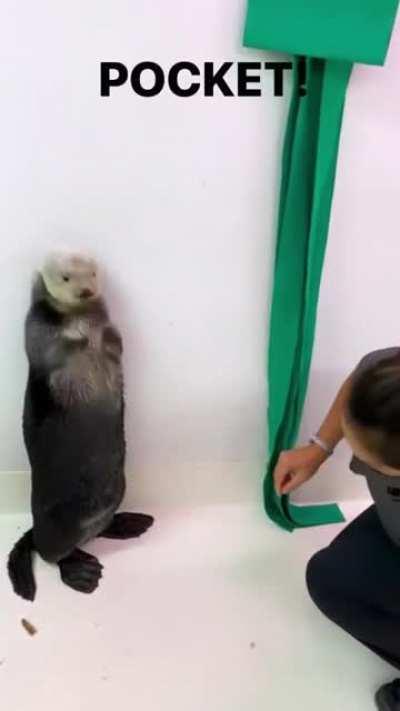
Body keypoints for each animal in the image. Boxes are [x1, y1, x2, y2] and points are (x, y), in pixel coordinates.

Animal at [8, 251, 153, 601]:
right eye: (65, 277)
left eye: (93, 273)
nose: (86, 291)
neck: (79, 318)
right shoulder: (37, 332)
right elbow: (50, 346)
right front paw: (80, 339)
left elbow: (115, 340)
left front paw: (104, 337)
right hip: (57, 529)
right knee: (53, 556)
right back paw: (81, 572)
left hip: (115, 497)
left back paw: (127, 524)